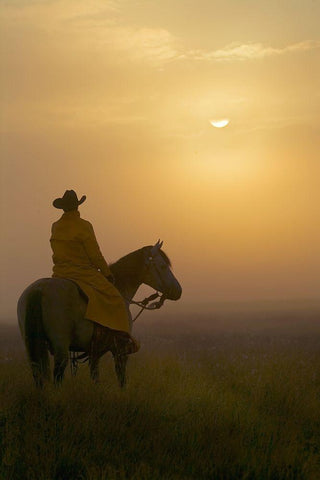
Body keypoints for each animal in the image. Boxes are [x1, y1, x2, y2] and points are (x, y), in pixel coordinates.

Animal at [17, 242, 181, 388]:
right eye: (162, 266)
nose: (178, 291)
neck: (120, 289)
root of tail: (39, 289)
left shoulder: (95, 352)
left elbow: (95, 377)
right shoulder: (120, 350)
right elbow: (121, 378)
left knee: (37, 372)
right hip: (60, 347)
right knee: (58, 375)